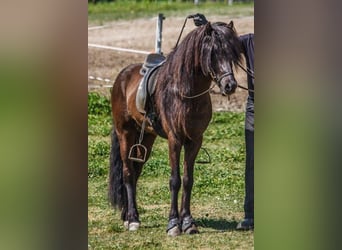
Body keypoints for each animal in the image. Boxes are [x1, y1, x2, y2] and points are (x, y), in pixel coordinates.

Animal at [108, 20, 242, 236]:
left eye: (232, 53)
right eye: (213, 52)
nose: (230, 85)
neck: (185, 92)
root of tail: (122, 76)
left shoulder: (195, 141)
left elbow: (187, 180)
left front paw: (187, 222)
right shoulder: (175, 139)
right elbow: (175, 180)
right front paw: (173, 223)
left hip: (146, 138)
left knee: (136, 173)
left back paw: (127, 215)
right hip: (125, 134)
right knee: (128, 173)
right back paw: (133, 219)